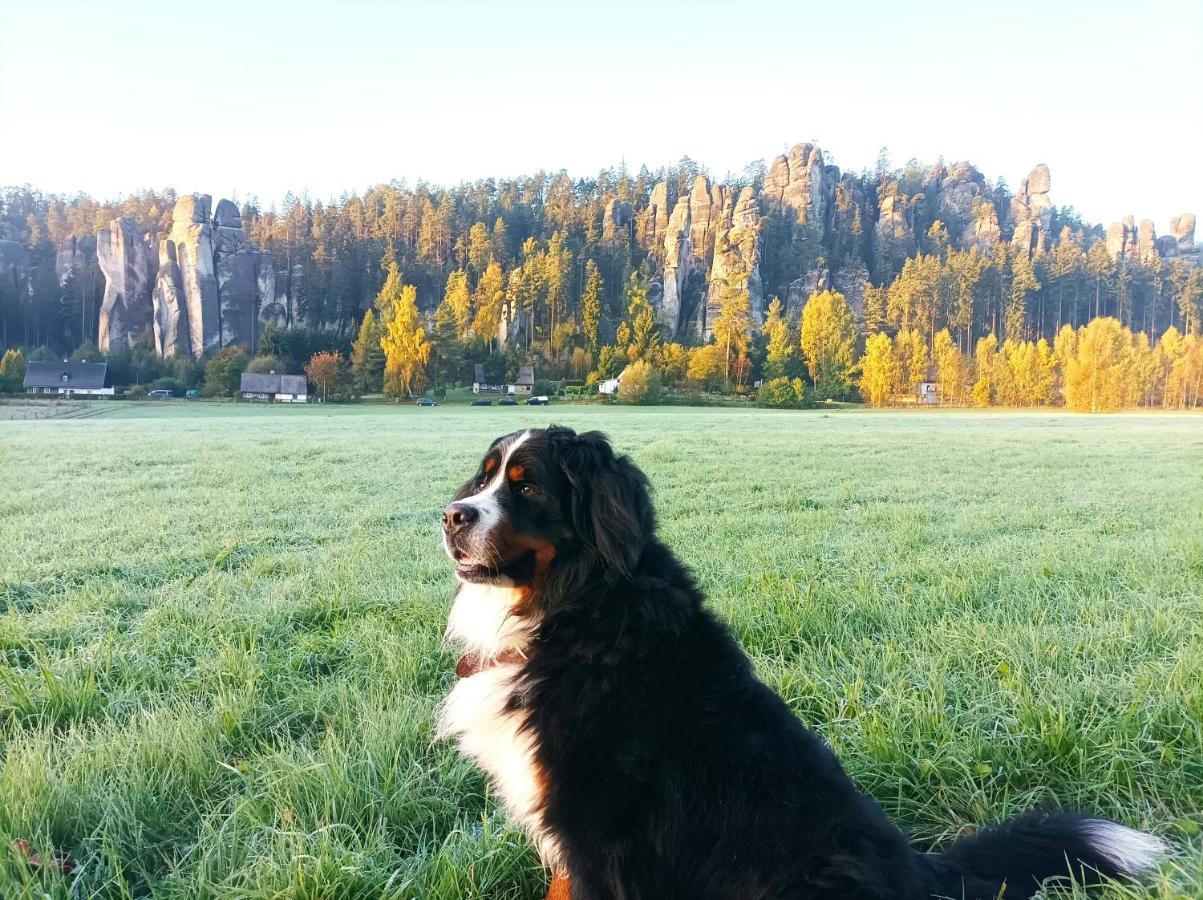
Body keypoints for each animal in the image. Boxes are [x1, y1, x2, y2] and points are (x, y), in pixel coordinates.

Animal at [440, 428, 1164, 900]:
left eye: (527, 485)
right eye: (484, 476)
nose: (451, 516)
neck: (577, 608)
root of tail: (921, 871)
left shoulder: (598, 826)